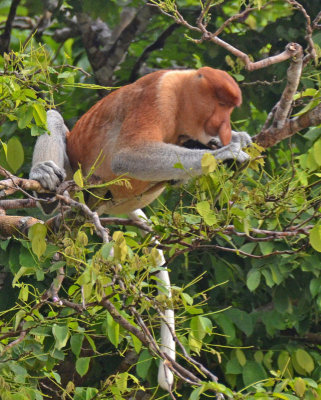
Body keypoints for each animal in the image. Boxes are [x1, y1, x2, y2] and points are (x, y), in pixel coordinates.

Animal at [29, 66, 250, 390]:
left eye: (230, 108)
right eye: (221, 104)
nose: (224, 127)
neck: (183, 95)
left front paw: (237, 139)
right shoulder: (158, 97)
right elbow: (129, 155)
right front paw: (229, 151)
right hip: (77, 177)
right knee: (54, 118)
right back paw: (45, 186)